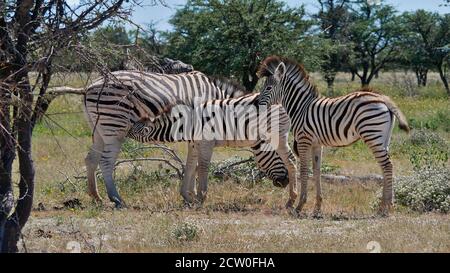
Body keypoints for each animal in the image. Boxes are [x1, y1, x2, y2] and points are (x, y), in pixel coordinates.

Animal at [129, 93, 298, 206]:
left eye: (134, 130)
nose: (284, 182)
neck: (186, 123)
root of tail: (281, 104)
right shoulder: (194, 145)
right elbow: (190, 167)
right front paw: (187, 197)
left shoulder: (206, 142)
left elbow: (202, 167)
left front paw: (200, 198)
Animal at [255, 56, 410, 216]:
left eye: (268, 88)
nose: (256, 104)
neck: (301, 107)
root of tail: (382, 98)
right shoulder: (317, 144)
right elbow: (316, 171)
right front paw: (317, 207)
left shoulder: (304, 140)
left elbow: (304, 170)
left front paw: (300, 206)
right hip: (383, 138)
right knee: (385, 166)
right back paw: (383, 206)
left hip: (372, 134)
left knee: (387, 165)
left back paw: (386, 207)